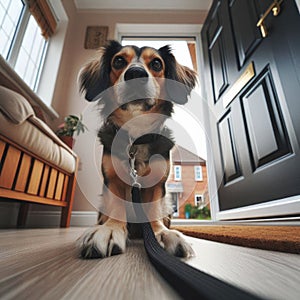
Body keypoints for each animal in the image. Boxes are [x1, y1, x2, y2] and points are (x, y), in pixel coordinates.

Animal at [78, 39, 197, 258]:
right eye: (118, 61)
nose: (135, 73)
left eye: (157, 64)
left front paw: (162, 233)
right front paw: (111, 230)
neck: (136, 136)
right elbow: (117, 209)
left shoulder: (157, 184)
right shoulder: (113, 181)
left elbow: (153, 213)